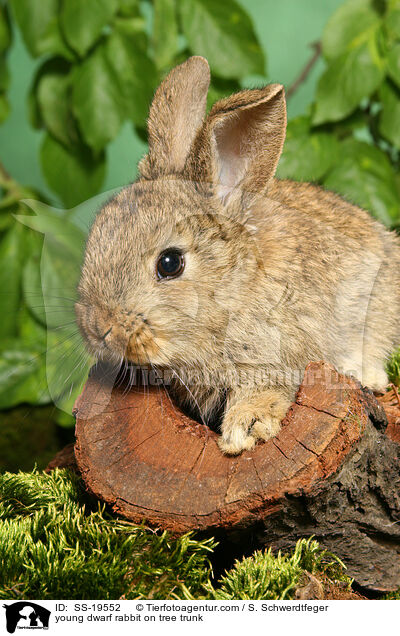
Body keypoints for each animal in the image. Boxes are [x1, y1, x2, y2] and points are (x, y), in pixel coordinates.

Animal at [75, 54, 400, 452]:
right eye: (98, 231)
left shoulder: (275, 355)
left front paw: (244, 430)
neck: (229, 290)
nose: (98, 327)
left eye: (170, 263)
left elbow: (266, 390)